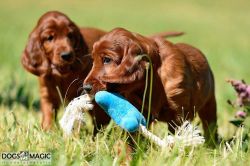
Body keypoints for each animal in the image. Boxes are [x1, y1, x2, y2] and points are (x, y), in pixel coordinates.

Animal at [83, 27, 218, 145]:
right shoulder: (139, 110)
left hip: (209, 103)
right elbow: (132, 137)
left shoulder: (179, 115)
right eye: (93, 60)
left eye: (107, 59)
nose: (86, 88)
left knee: (210, 124)